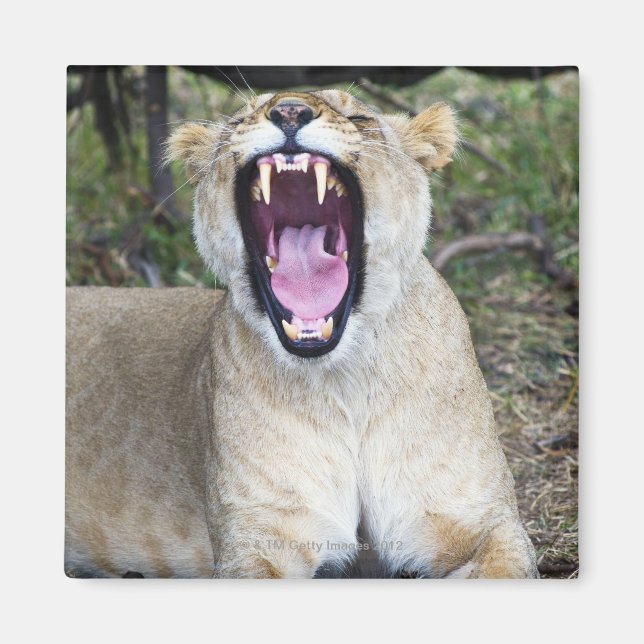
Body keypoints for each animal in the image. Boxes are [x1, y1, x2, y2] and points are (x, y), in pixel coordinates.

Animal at [65, 89, 538, 578]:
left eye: (358, 116)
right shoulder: (257, 540)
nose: (289, 110)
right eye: (238, 120)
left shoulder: (483, 522)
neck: (345, 380)